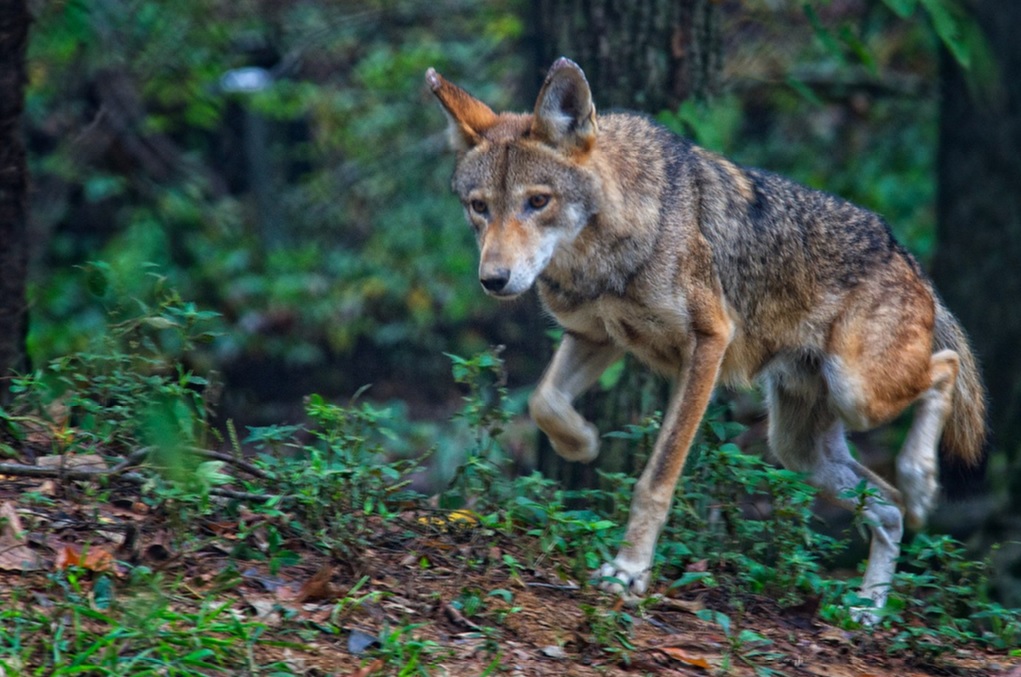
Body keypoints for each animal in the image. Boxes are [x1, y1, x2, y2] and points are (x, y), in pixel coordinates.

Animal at [425, 57, 986, 616]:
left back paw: (920, 481)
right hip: (798, 449)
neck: (604, 250)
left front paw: (629, 570)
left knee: (946, 367)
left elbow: (656, 477)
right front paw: (580, 443)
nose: (493, 280)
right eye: (479, 207)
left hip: (858, 393)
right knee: (889, 509)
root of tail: (906, 256)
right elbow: (543, 401)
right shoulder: (594, 336)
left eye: (537, 201)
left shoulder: (708, 344)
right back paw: (867, 609)